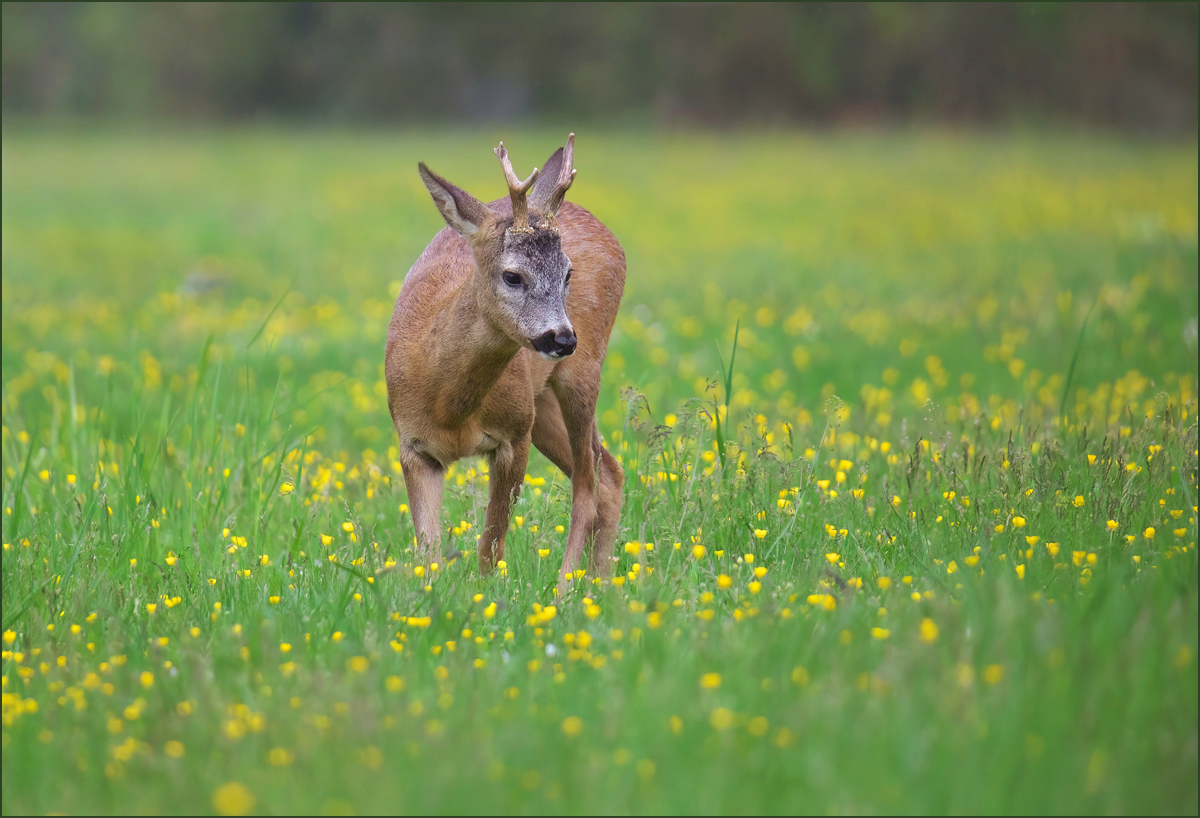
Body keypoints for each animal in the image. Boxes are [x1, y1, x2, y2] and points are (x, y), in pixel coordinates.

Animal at [386, 133, 628, 592]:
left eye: (568, 274)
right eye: (513, 275)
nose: (562, 338)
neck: (451, 407)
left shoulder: (514, 436)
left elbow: (490, 545)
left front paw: (484, 597)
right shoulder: (413, 445)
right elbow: (427, 552)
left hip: (582, 372)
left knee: (587, 483)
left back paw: (567, 590)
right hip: (541, 401)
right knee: (609, 472)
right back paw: (602, 586)